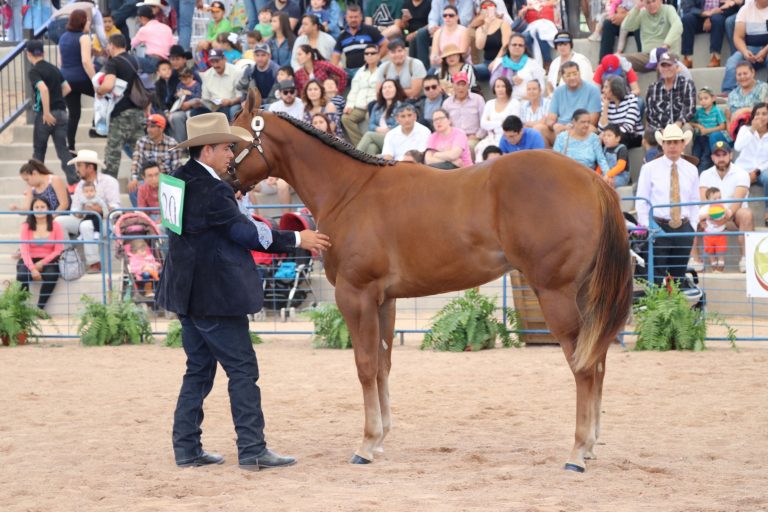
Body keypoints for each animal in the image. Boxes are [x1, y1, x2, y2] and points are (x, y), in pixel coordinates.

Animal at [230, 91, 633, 472]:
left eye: (233, 143)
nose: (224, 178)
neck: (350, 191)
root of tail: (592, 180)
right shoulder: (384, 300)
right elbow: (382, 365)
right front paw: (380, 439)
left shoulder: (355, 295)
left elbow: (365, 365)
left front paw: (366, 444)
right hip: (584, 296)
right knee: (598, 361)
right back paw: (591, 445)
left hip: (556, 295)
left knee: (583, 366)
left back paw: (577, 452)